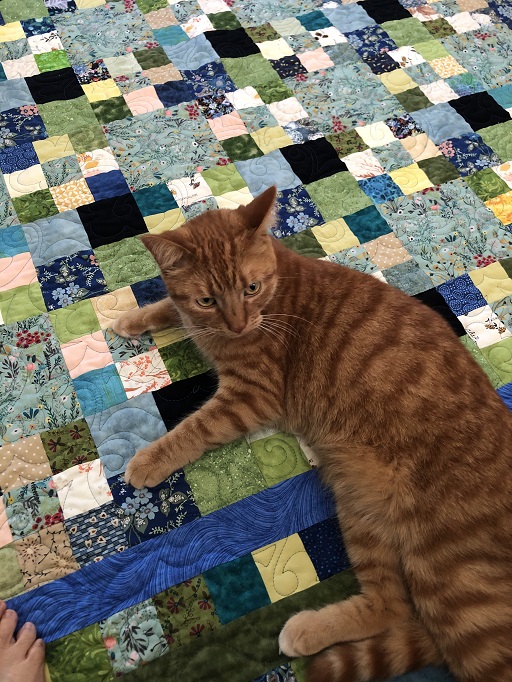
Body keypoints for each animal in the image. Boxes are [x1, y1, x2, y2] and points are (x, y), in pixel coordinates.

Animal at [114, 186, 512, 680]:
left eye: (250, 288)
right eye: (207, 300)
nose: (238, 324)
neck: (270, 298)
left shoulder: (251, 397)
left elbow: (192, 430)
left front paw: (148, 459)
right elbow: (169, 305)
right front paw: (133, 318)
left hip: (445, 571)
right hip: (360, 506)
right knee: (391, 607)